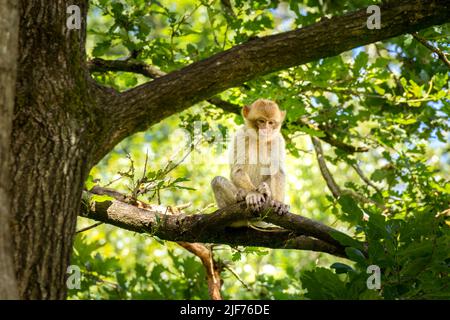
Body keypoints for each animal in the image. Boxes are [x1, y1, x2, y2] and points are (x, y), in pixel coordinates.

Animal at [210, 98, 288, 228]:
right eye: (261, 121)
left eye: (271, 122)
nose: (266, 129)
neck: (259, 140)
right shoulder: (241, 135)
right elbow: (238, 170)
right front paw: (253, 194)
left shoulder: (278, 139)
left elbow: (278, 171)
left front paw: (278, 201)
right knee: (217, 181)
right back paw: (242, 196)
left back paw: (266, 193)